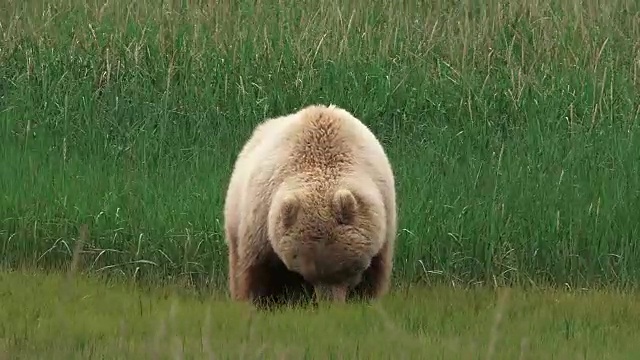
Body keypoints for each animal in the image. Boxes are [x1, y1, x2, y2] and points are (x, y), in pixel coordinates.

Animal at [224, 102, 396, 308]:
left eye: (347, 270)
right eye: (308, 272)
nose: (330, 305)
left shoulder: (382, 222)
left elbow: (374, 276)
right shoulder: (262, 222)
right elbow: (257, 273)